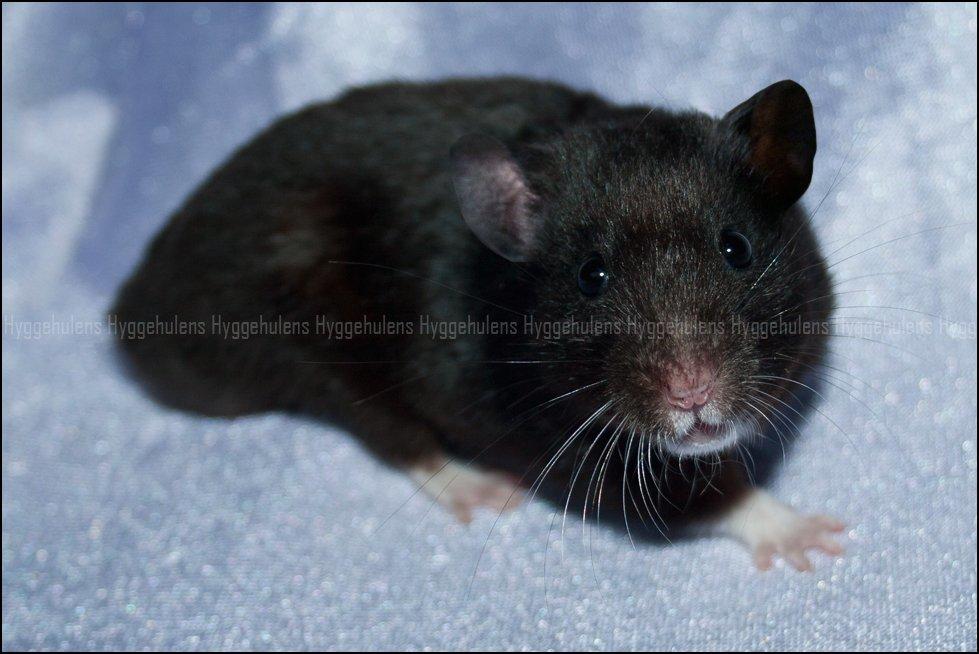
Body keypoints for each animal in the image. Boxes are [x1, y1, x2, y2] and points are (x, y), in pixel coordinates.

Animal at [112, 77, 844, 570]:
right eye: (591, 277)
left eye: (735, 248)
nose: (691, 394)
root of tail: (136, 302)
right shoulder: (565, 444)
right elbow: (697, 499)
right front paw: (807, 534)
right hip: (311, 350)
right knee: (391, 434)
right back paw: (479, 488)